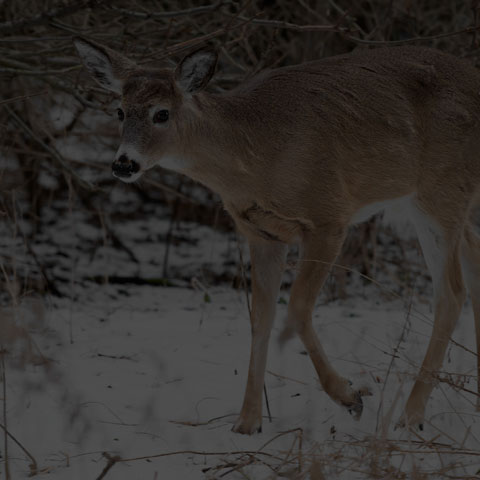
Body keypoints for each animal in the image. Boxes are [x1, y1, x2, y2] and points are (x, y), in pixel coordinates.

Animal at [74, 37, 480, 434]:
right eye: (120, 111)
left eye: (161, 113)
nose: (123, 164)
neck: (254, 154)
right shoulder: (261, 233)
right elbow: (260, 318)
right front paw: (247, 421)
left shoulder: (328, 217)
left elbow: (297, 307)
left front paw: (351, 395)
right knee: (472, 269)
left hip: (439, 192)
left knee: (451, 293)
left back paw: (411, 416)